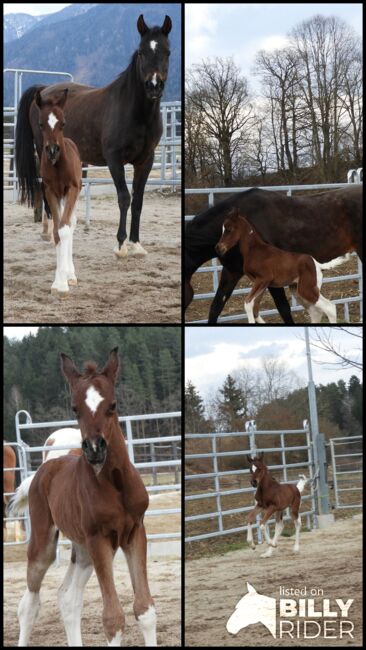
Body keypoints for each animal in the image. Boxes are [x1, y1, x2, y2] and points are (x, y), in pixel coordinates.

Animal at [10, 346, 156, 644]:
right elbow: (113, 618)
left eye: (112, 405)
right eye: (75, 409)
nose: (95, 448)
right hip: (46, 544)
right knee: (29, 604)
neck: (115, 486)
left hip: (83, 550)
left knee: (68, 598)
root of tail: (43, 469)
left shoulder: (135, 533)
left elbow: (144, 609)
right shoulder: (99, 539)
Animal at [15, 14, 172, 256]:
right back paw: (50, 233)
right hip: (44, 151)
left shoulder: (145, 160)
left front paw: (136, 244)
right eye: (141, 52)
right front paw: (121, 245)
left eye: (167, 52)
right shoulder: (114, 159)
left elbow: (138, 200)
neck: (133, 110)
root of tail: (43, 90)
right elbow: (124, 198)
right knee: (44, 187)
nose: (153, 86)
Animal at [216, 209, 344, 322]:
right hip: (299, 291)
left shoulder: (263, 279)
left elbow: (248, 303)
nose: (218, 248)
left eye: (229, 229)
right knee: (316, 312)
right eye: (222, 229)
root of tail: (317, 264)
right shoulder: (260, 283)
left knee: (329, 308)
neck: (254, 251)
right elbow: (255, 309)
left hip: (306, 289)